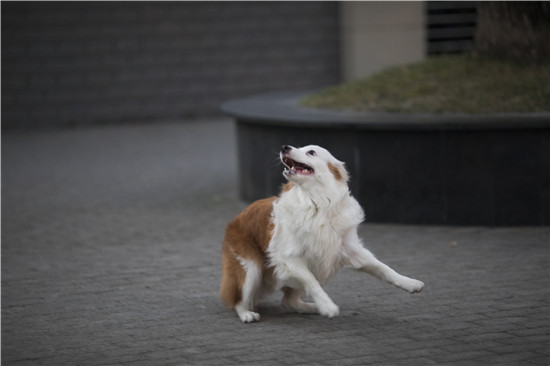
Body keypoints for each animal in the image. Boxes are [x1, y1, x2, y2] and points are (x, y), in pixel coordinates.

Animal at [221, 144, 426, 322]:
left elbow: (383, 268)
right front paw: (328, 307)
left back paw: (312, 308)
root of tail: (232, 222)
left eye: (311, 152)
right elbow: (312, 282)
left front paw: (410, 283)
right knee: (238, 301)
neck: (315, 203)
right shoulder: (288, 258)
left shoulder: (350, 249)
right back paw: (247, 314)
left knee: (288, 301)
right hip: (252, 268)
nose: (284, 147)